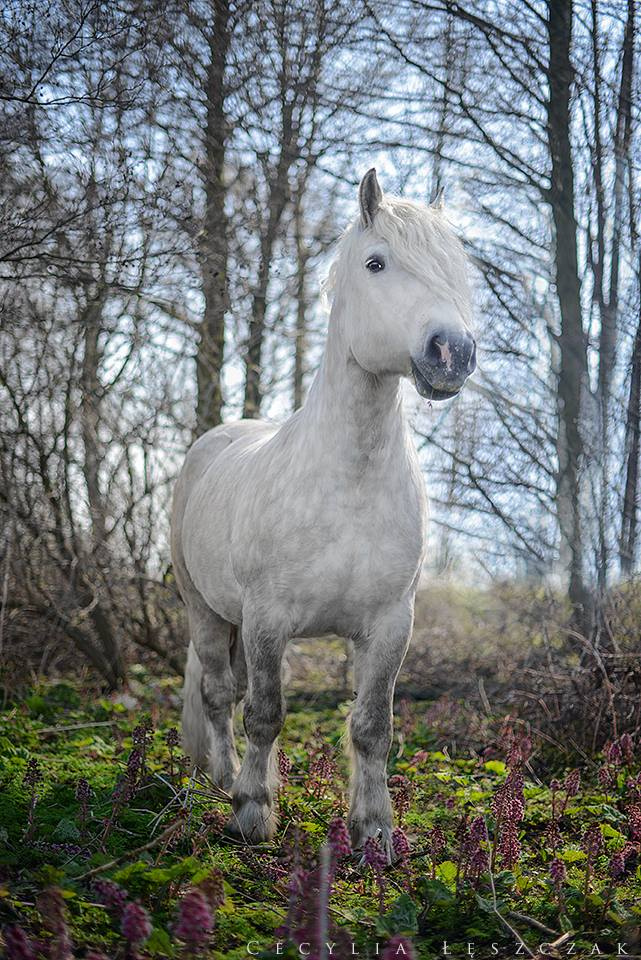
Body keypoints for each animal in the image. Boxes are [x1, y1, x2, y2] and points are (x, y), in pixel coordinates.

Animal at [171, 169, 476, 860]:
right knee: (218, 695)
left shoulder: (390, 626)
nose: (451, 352)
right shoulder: (266, 620)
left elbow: (371, 726)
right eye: (376, 262)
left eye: (457, 268)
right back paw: (221, 780)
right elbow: (265, 714)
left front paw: (375, 832)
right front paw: (253, 813)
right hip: (205, 610)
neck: (350, 484)